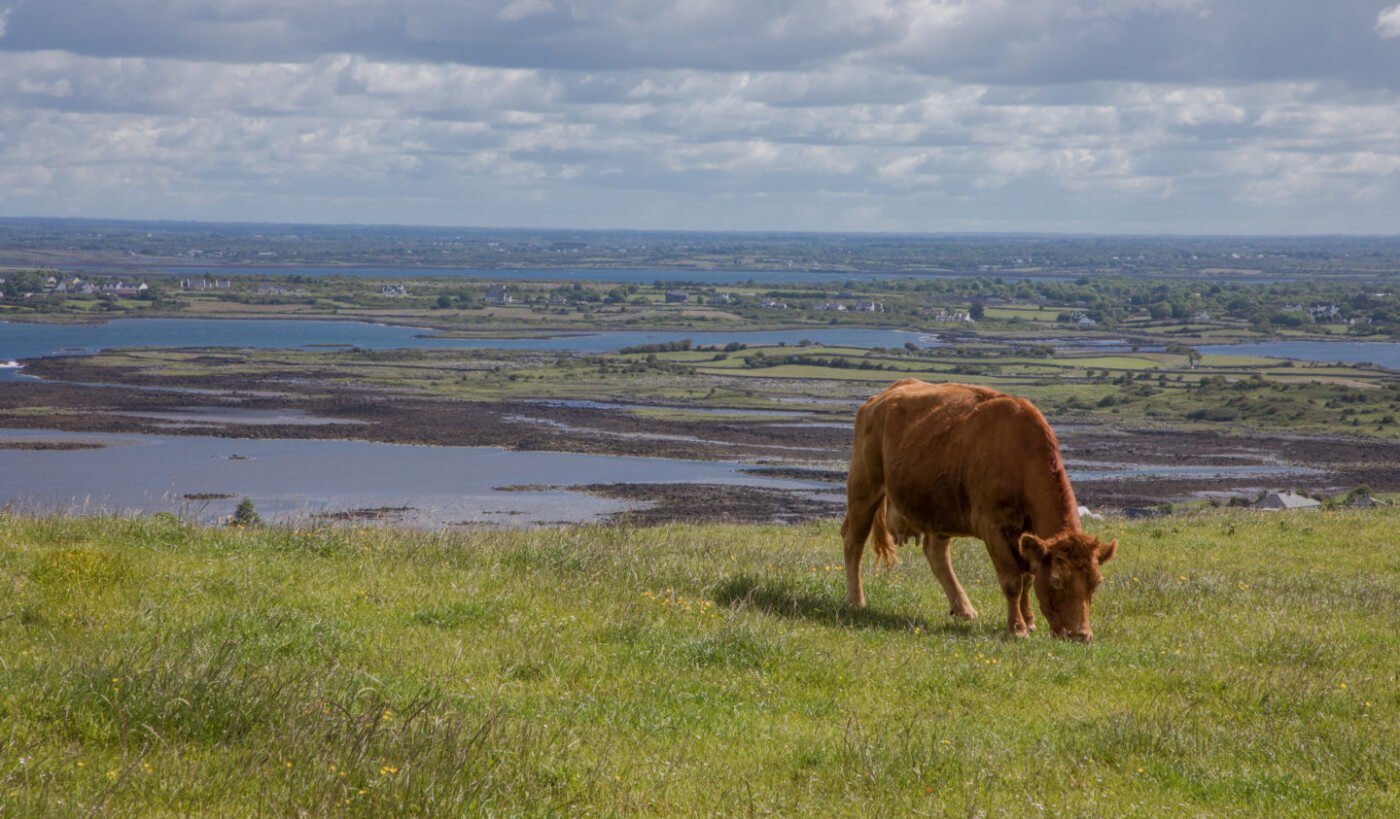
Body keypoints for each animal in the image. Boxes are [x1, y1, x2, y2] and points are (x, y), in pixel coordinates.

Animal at [840, 380, 1114, 641]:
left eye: (1096, 583)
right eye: (1057, 580)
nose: (1080, 635)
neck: (1021, 452)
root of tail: (879, 399)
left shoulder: (1025, 536)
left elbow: (1028, 578)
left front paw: (1028, 620)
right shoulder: (992, 526)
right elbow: (1012, 579)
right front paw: (1017, 629)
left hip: (940, 506)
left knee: (936, 554)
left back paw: (964, 608)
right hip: (864, 488)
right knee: (854, 540)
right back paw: (856, 600)